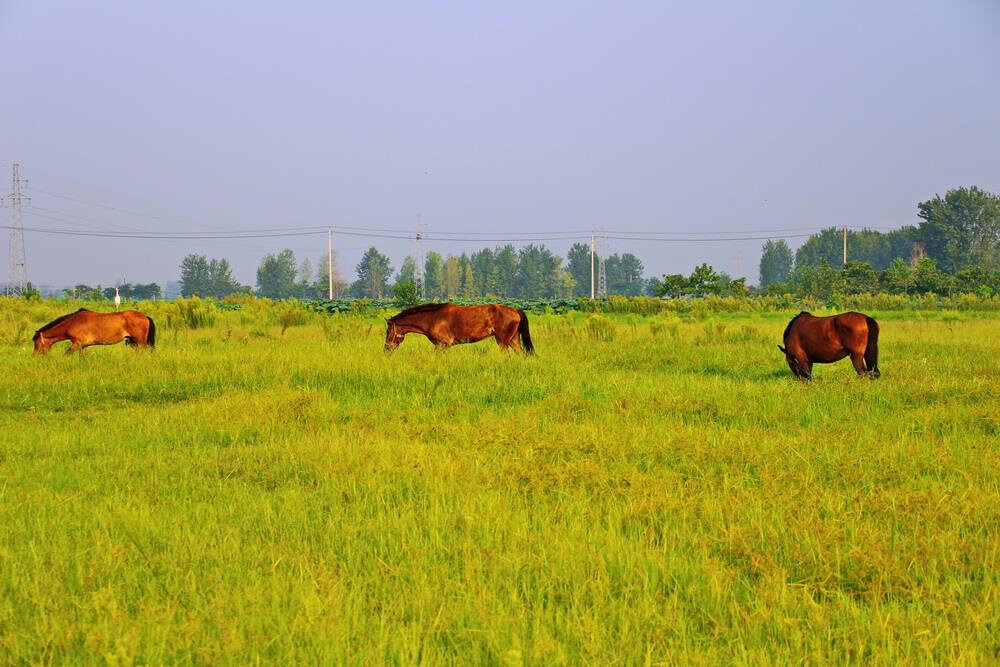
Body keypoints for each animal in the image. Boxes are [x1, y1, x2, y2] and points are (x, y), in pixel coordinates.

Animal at [384, 304, 540, 354]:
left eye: (388, 331)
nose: (386, 348)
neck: (432, 317)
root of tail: (515, 310)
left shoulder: (442, 345)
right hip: (513, 340)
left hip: (502, 341)